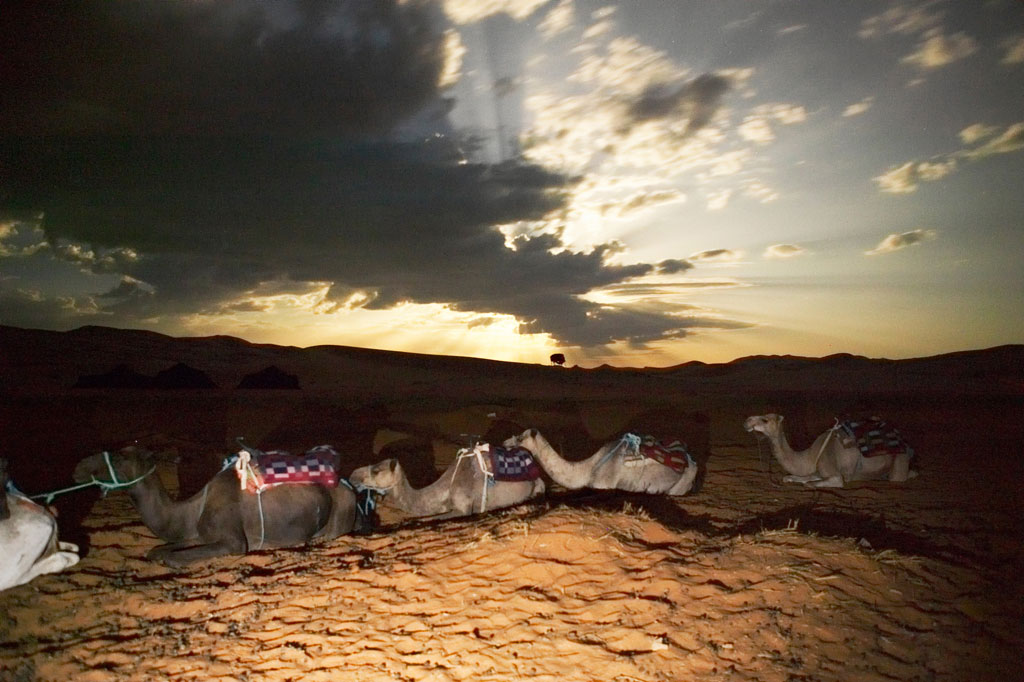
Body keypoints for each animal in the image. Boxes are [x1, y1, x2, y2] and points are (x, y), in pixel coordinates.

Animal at [72, 446, 357, 566]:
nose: (79, 468)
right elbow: (157, 550)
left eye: (119, 457)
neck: (191, 512)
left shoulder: (233, 542)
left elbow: (173, 559)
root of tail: (348, 487)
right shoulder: (196, 534)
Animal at [504, 429, 699, 495]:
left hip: (681, 484)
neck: (588, 469)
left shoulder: (603, 486)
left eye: (520, 438)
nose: (504, 443)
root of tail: (691, 460)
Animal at [743, 414, 917, 488]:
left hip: (900, 459)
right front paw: (790, 479)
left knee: (903, 476)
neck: (811, 455)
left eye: (765, 419)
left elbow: (811, 484)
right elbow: (792, 478)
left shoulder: (834, 474)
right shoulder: (817, 470)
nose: (747, 421)